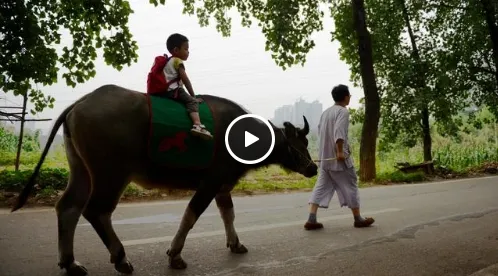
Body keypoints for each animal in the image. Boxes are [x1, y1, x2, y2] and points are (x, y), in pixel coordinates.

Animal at [9, 84, 318, 276]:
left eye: (306, 143)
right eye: (297, 145)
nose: (314, 168)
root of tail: (81, 102)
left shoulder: (222, 186)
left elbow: (228, 215)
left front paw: (235, 244)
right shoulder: (209, 183)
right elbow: (191, 215)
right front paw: (175, 254)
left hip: (81, 169)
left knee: (68, 207)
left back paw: (70, 262)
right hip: (111, 173)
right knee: (96, 210)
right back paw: (120, 258)